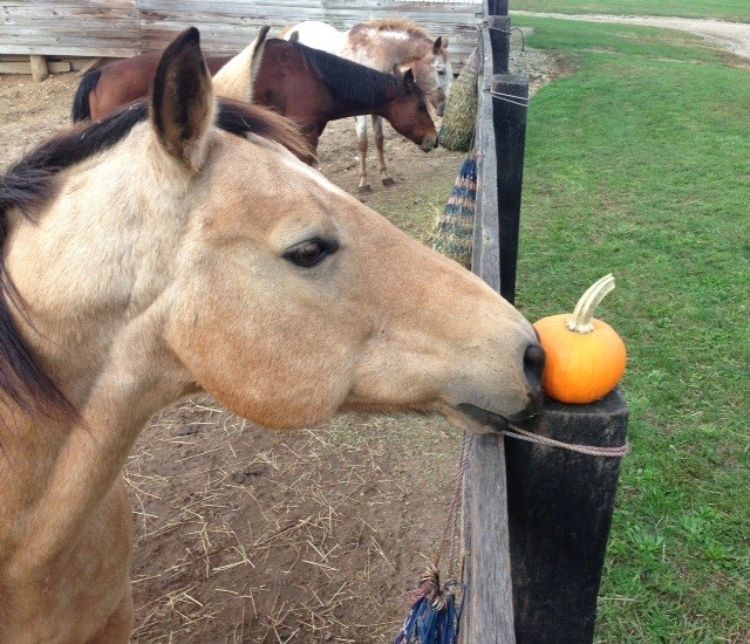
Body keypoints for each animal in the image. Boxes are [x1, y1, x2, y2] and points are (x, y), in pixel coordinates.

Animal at [286, 19, 452, 191]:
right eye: (440, 71)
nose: (444, 107)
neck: (373, 53)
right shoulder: (361, 112)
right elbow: (363, 143)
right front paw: (363, 182)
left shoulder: (379, 108)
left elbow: (379, 140)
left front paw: (385, 176)